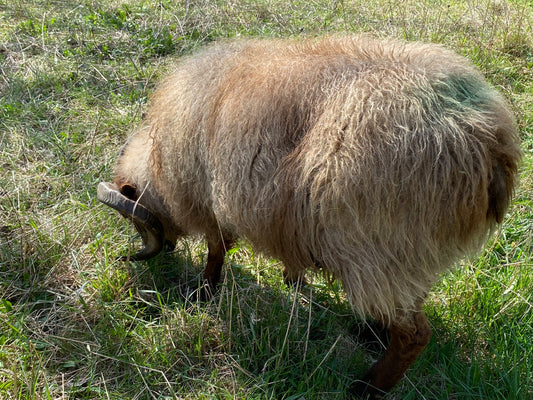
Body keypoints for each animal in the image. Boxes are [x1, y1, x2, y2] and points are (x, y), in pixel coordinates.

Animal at [95, 36, 520, 398]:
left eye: (134, 221)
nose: (157, 252)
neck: (158, 160)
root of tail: (487, 141)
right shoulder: (284, 216)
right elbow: (285, 255)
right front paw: (292, 279)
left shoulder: (209, 200)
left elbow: (217, 248)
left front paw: (204, 290)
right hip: (409, 257)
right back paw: (373, 334)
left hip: (377, 250)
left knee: (415, 335)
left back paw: (368, 387)